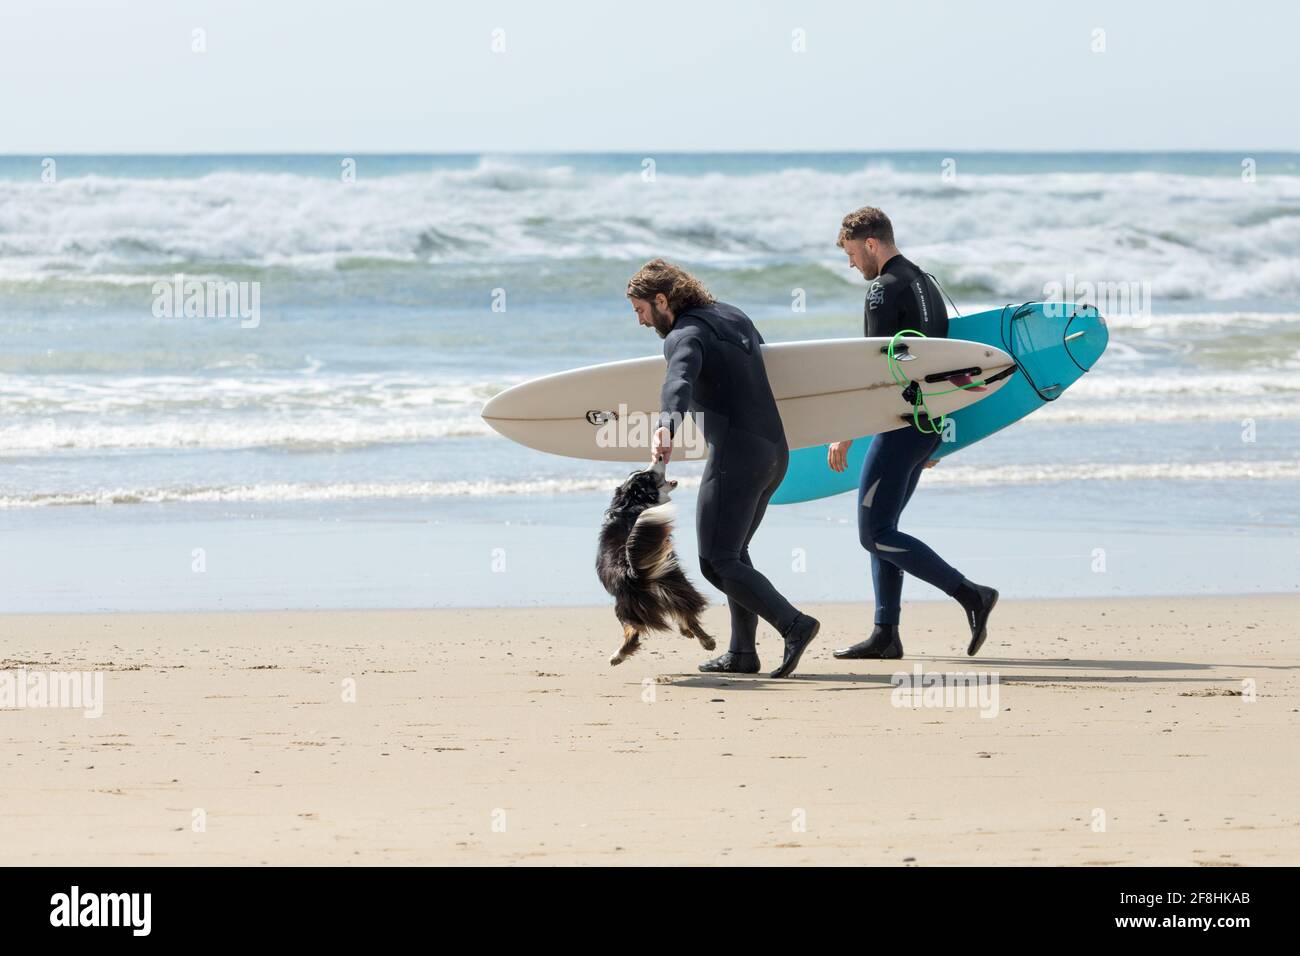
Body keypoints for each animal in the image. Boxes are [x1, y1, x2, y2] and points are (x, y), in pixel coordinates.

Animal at [595, 463, 717, 665]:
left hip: (626, 605)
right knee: (687, 612)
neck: (630, 503)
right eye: (649, 476)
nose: (659, 458)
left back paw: (617, 656)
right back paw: (706, 641)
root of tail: (630, 570)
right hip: (674, 580)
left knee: (633, 631)